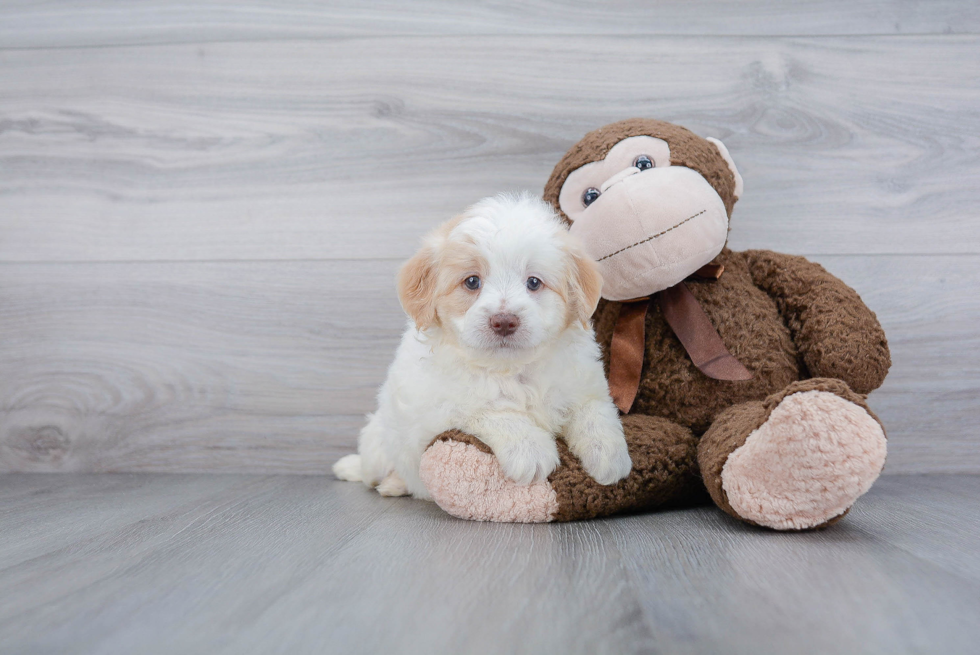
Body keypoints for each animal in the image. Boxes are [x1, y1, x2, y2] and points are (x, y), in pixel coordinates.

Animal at [334, 192, 632, 500]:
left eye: (533, 282)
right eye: (472, 281)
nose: (504, 321)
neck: (510, 370)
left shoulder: (583, 385)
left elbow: (595, 411)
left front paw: (610, 456)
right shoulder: (440, 408)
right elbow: (491, 411)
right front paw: (530, 449)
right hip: (379, 444)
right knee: (372, 471)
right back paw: (378, 478)